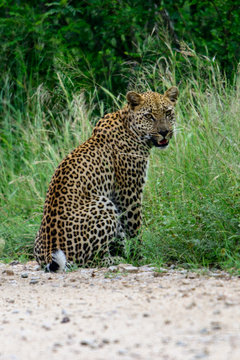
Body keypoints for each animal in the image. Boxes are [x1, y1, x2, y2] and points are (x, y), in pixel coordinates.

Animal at [34, 86, 179, 270]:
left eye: (168, 113)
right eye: (149, 116)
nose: (164, 132)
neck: (129, 126)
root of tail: (47, 255)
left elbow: (123, 233)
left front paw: (130, 253)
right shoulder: (128, 193)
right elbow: (134, 228)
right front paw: (139, 256)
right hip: (103, 204)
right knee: (89, 260)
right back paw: (116, 260)